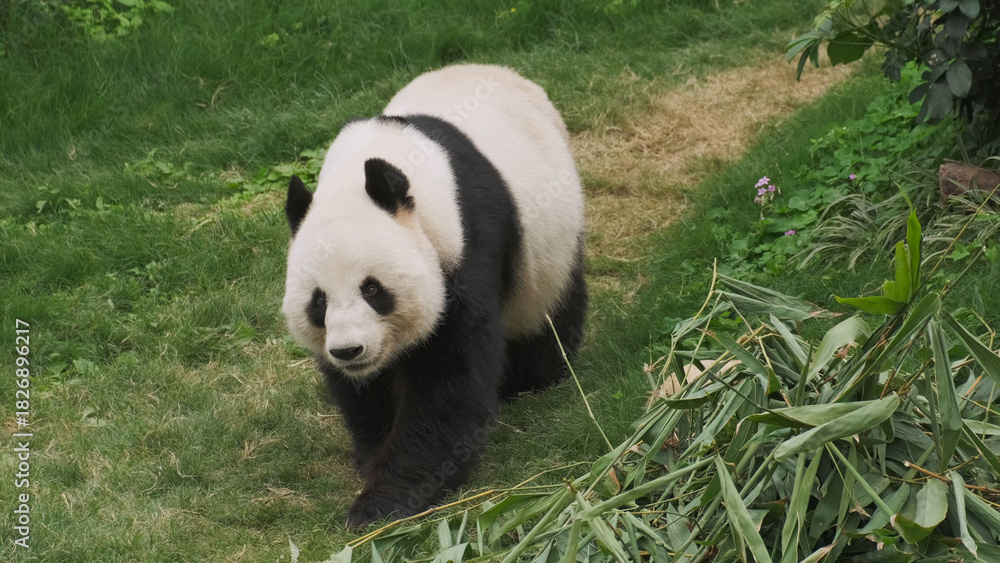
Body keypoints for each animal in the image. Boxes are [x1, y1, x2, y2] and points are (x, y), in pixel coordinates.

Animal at [281, 64, 587, 530]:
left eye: (372, 289)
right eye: (319, 301)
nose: (349, 350)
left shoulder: (466, 247)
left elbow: (448, 381)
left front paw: (382, 503)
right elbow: (366, 394)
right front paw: (373, 457)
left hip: (551, 247)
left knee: (550, 313)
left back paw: (534, 375)